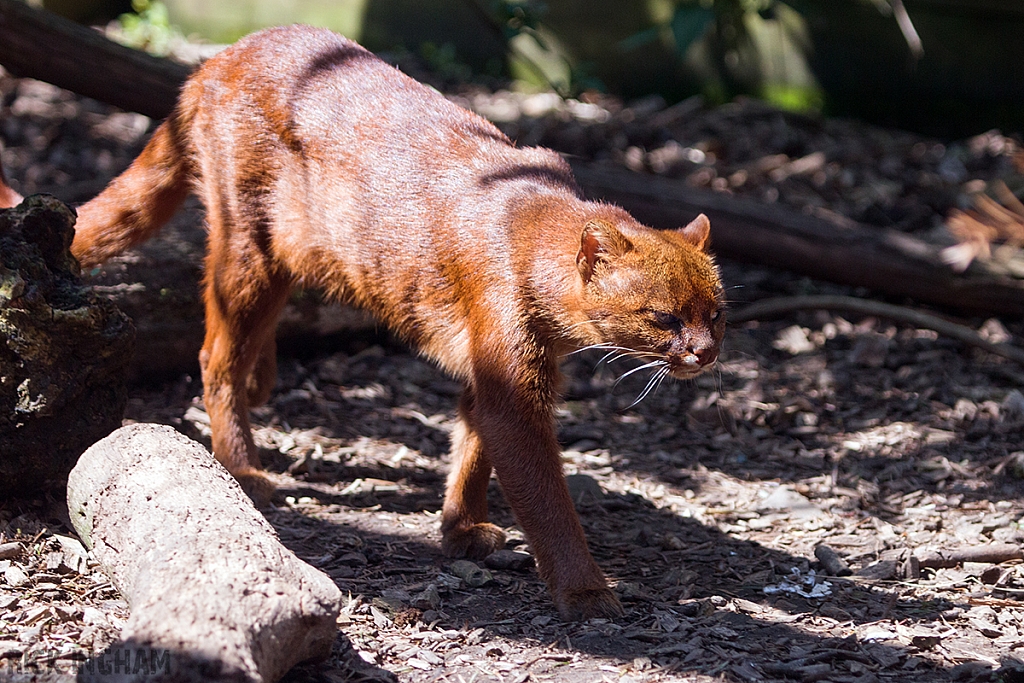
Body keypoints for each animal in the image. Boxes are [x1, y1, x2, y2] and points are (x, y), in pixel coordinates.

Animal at [72, 26, 724, 622]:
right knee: (214, 353)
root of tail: (221, 55)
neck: (540, 234)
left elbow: (472, 446)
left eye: (715, 313)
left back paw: (262, 384)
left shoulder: (494, 374)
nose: (707, 351)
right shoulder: (514, 388)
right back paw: (242, 469)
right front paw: (585, 592)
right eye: (664, 317)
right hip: (247, 246)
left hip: (282, 258)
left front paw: (461, 529)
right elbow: (543, 494)